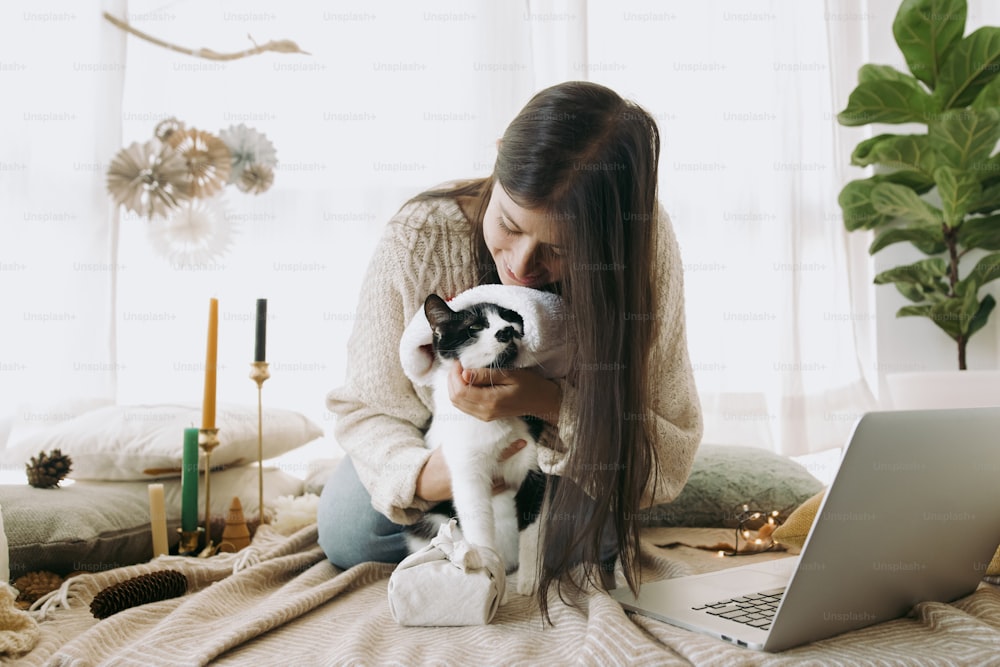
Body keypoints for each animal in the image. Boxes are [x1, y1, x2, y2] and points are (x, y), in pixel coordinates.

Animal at [406, 292, 548, 584]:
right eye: (474, 327)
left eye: (511, 318)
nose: (506, 331)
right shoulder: (467, 473)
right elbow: (478, 523)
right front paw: (484, 572)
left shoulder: (532, 467)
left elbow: (532, 528)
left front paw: (529, 582)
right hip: (431, 520)